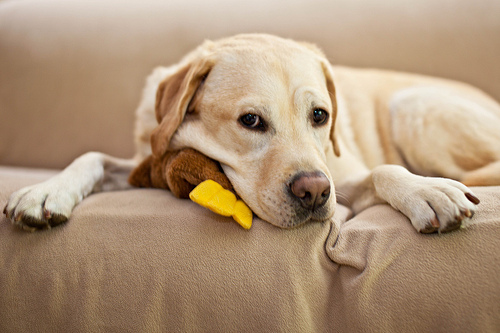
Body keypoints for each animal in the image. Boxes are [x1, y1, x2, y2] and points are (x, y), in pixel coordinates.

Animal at [3, 33, 500, 231]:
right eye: (251, 121)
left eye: (320, 116)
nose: (315, 193)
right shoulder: (141, 161)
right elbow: (91, 157)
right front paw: (46, 191)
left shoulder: (343, 173)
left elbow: (383, 171)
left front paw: (427, 191)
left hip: (412, 104)